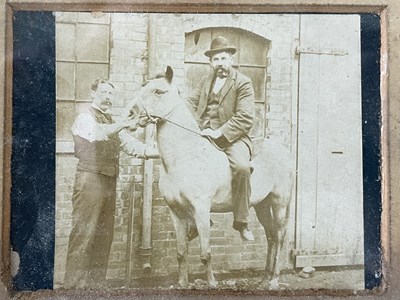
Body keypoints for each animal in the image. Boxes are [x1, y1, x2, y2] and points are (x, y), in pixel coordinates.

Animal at [134, 67, 294, 290]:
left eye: (158, 91)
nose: (131, 112)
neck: (184, 157)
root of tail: (285, 152)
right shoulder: (176, 212)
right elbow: (181, 252)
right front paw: (183, 284)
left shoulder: (201, 210)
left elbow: (205, 253)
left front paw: (211, 283)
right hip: (262, 204)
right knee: (270, 236)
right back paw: (264, 278)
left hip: (279, 203)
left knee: (279, 237)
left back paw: (274, 280)